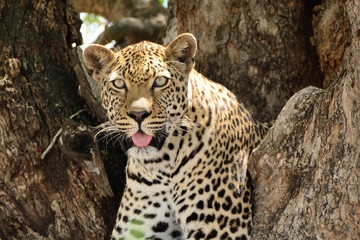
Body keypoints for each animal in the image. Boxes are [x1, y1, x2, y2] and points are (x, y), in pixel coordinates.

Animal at [83, 32, 272, 240]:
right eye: (119, 84)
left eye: (160, 81)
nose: (138, 114)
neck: (161, 165)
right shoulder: (138, 230)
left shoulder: (221, 229)